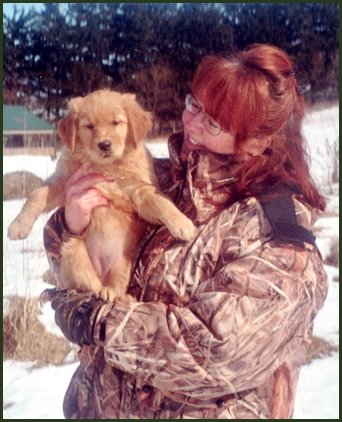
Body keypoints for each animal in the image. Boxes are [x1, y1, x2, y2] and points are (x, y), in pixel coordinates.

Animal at [8, 88, 195, 300]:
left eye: (116, 122)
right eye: (89, 126)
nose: (104, 144)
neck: (105, 166)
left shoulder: (139, 189)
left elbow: (160, 201)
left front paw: (183, 224)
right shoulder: (63, 181)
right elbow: (37, 194)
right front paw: (18, 225)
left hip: (124, 264)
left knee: (113, 289)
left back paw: (118, 295)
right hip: (72, 248)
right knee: (90, 287)